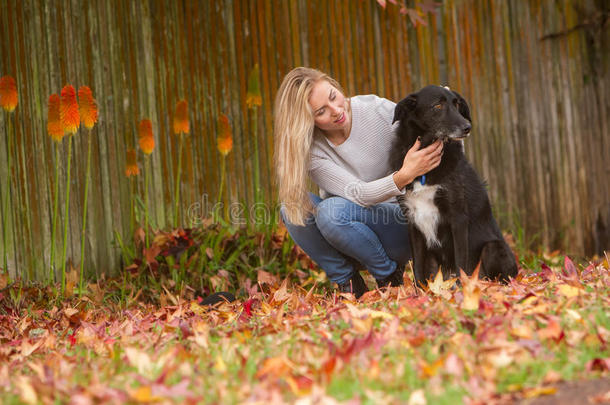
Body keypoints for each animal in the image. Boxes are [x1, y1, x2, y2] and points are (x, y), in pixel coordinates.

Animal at [392, 85, 516, 288]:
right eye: (438, 105)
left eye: (457, 104)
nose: (467, 127)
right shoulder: (412, 220)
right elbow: (417, 265)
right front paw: (418, 292)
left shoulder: (457, 217)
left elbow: (461, 261)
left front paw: (461, 289)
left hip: (493, 248)